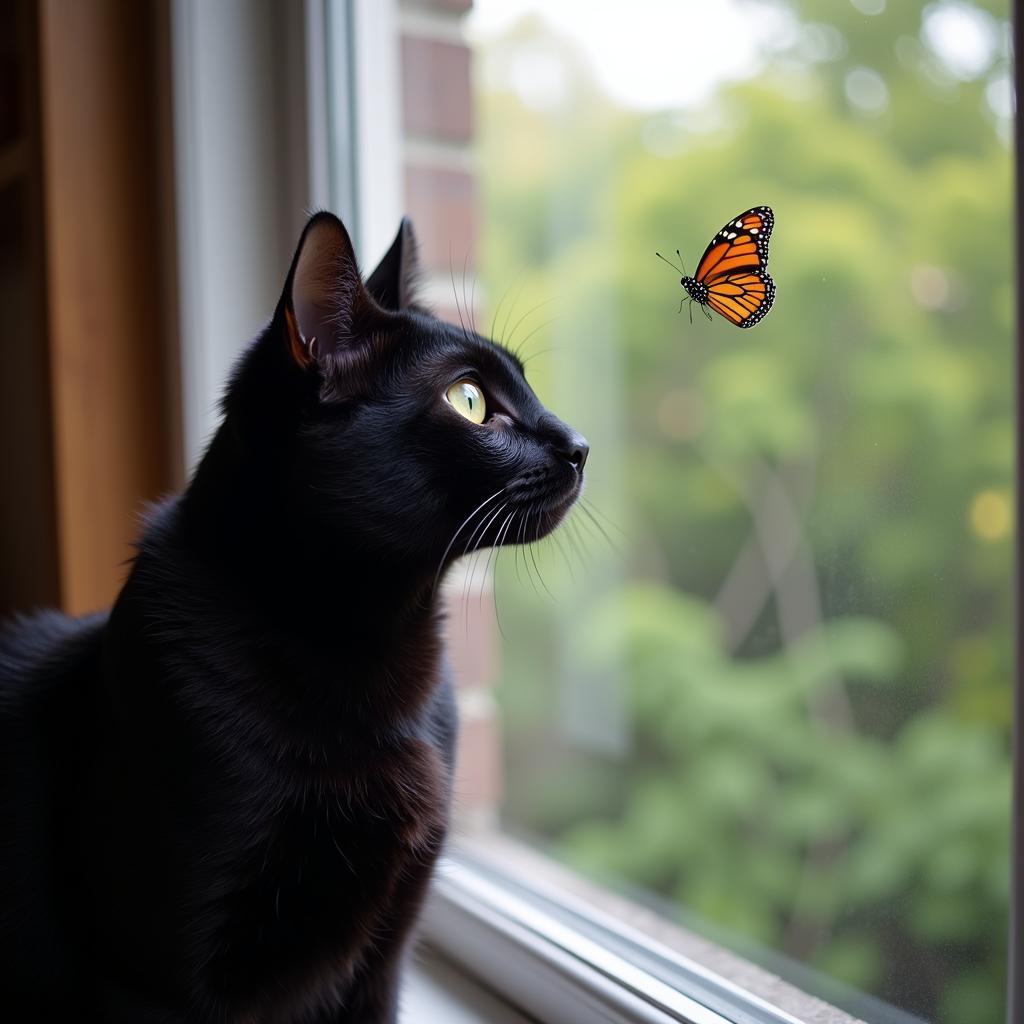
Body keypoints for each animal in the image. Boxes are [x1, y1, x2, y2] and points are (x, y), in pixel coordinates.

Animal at [0, 211, 589, 1019]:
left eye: (526, 384)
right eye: (469, 401)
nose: (579, 445)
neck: (370, 640)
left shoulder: (384, 955)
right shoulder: (155, 976)